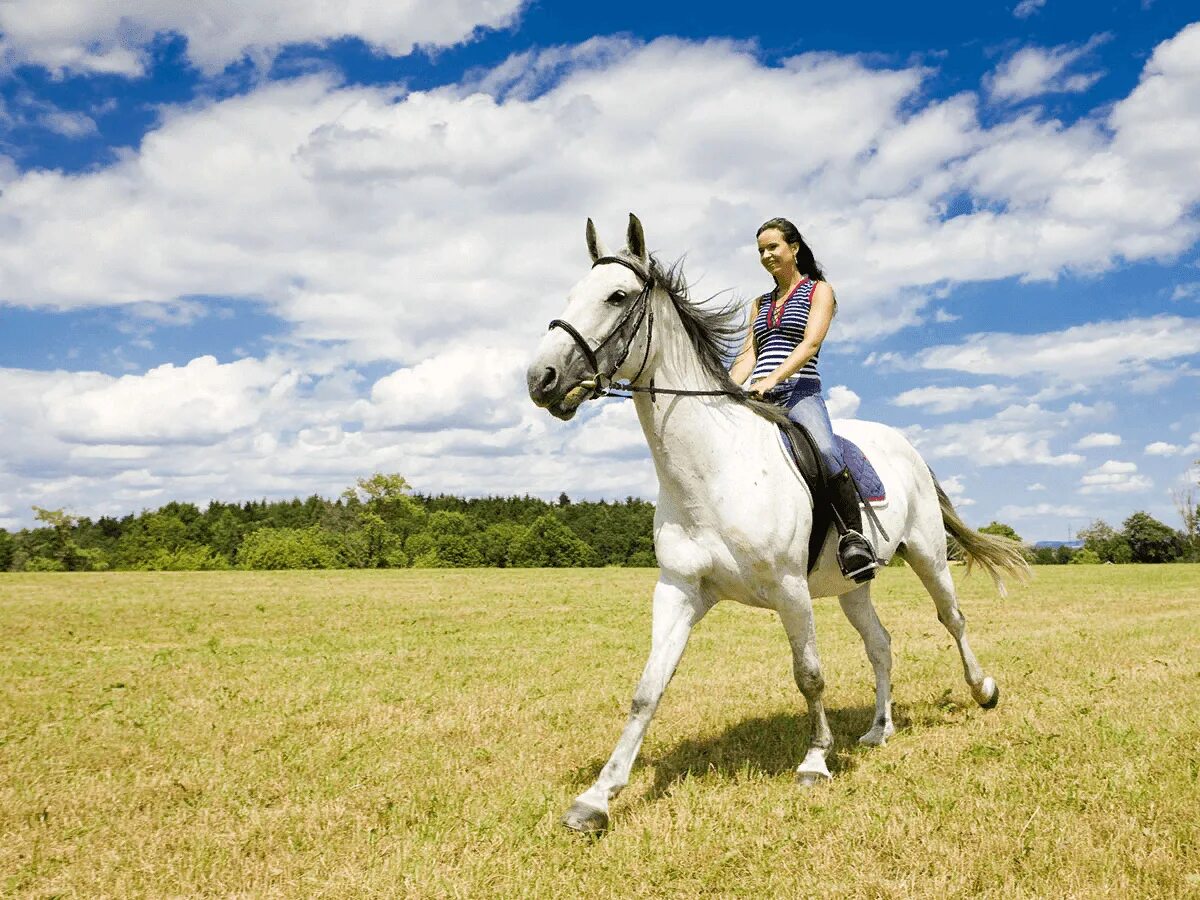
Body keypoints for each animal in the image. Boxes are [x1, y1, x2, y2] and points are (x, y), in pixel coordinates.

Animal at [530, 214, 1027, 835]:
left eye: (616, 296)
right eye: (571, 294)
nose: (541, 379)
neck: (712, 470)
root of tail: (904, 444)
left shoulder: (791, 590)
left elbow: (809, 674)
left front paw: (815, 761)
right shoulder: (679, 591)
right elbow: (648, 689)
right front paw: (597, 797)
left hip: (928, 556)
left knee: (952, 619)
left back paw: (983, 690)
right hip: (852, 586)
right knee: (880, 644)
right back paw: (878, 730)